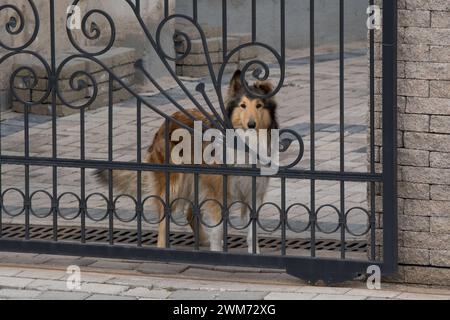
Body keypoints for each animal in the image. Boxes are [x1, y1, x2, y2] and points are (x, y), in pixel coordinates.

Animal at [96, 70, 276, 252]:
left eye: (259, 105)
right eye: (242, 105)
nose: (251, 124)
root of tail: (167, 120)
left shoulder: (255, 192)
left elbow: (252, 232)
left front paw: (254, 252)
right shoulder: (218, 192)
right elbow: (218, 229)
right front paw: (217, 250)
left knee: (190, 213)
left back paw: (203, 240)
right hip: (174, 183)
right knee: (165, 216)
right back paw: (163, 246)